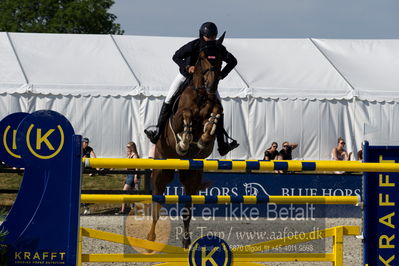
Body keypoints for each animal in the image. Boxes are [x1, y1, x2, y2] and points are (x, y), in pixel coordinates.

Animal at [147, 33, 228, 249]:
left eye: (220, 58)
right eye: (203, 57)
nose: (212, 86)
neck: (201, 93)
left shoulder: (214, 107)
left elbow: (215, 114)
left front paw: (205, 136)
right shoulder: (178, 118)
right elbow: (185, 115)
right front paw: (184, 141)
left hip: (191, 176)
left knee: (186, 210)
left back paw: (186, 240)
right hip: (161, 172)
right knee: (157, 204)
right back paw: (150, 238)